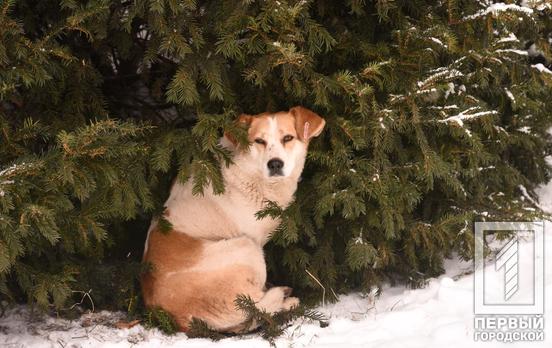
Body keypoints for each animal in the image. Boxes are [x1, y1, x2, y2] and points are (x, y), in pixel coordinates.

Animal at [140, 105, 326, 332]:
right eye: (259, 141)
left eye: (288, 138)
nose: (275, 164)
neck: (249, 172)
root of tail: (177, 318)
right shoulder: (255, 239)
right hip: (246, 248)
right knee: (257, 308)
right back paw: (286, 300)